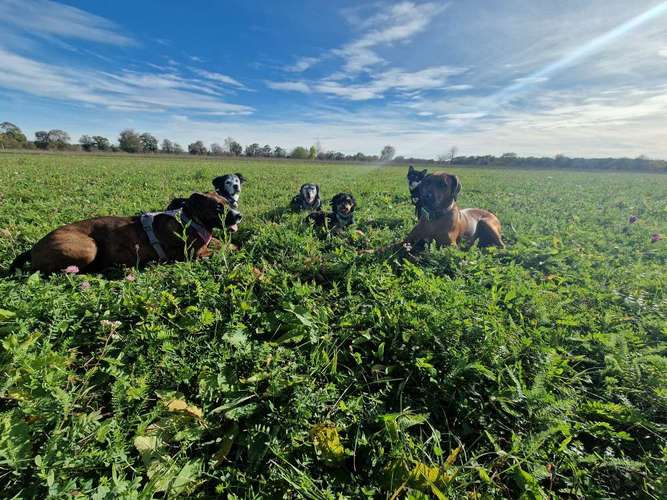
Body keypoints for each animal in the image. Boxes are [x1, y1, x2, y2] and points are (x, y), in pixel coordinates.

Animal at [10, 193, 241, 276]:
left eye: (228, 202)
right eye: (218, 207)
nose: (239, 216)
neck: (190, 219)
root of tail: (33, 249)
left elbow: (223, 244)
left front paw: (234, 246)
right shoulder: (193, 255)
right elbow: (218, 250)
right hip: (87, 248)